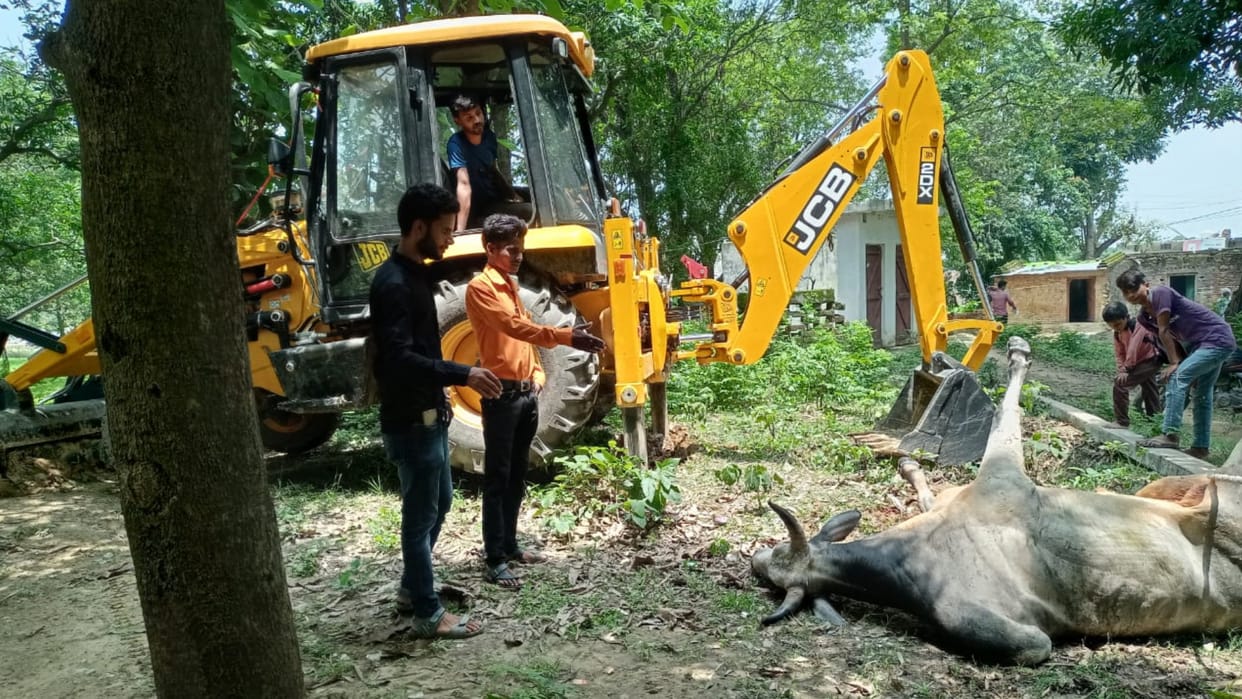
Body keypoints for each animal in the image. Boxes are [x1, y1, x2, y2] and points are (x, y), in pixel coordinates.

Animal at [751, 337, 1242, 665]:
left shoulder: (1002, 479)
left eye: (780, 550)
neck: (908, 555)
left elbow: (1007, 413)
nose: (754, 559)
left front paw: (1018, 352)